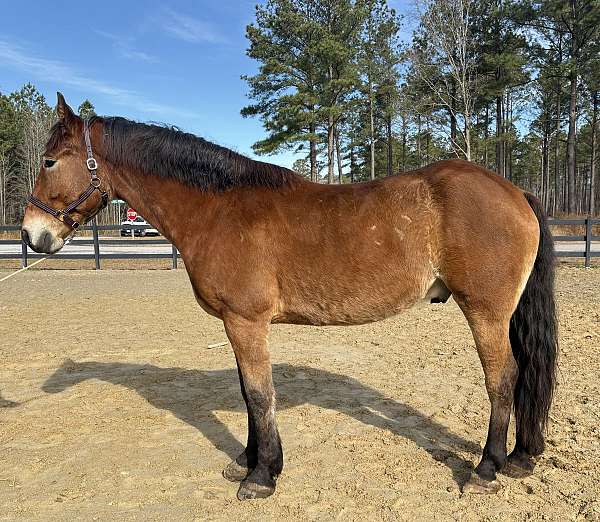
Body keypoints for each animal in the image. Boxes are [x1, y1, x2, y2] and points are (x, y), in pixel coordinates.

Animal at [22, 94, 556, 500]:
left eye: (49, 161)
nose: (31, 235)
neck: (218, 209)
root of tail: (516, 192)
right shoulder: (236, 324)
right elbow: (247, 392)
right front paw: (246, 460)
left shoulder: (245, 321)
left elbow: (261, 394)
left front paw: (262, 476)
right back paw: (519, 458)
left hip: (485, 312)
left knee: (502, 378)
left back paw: (487, 469)